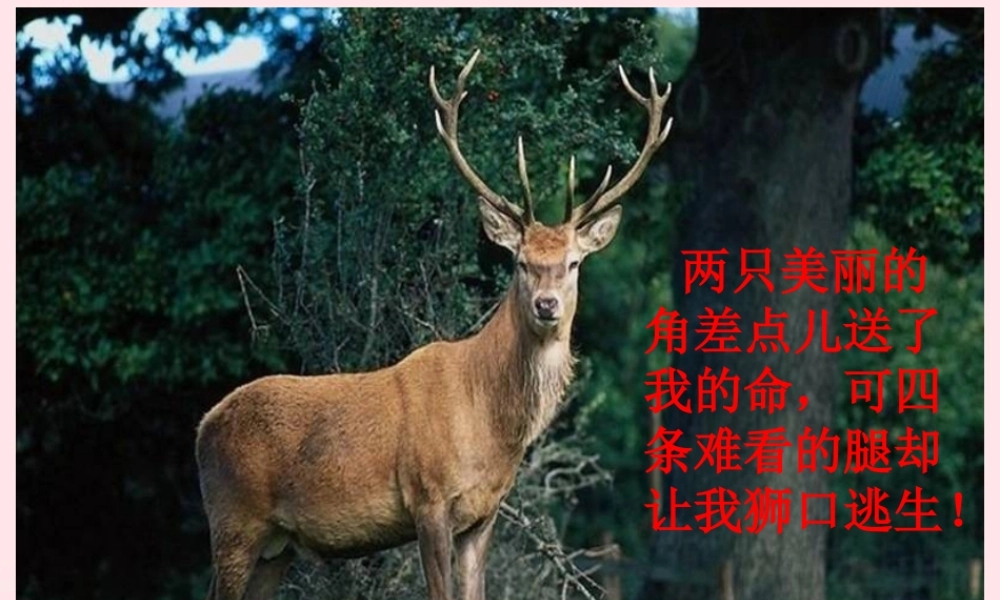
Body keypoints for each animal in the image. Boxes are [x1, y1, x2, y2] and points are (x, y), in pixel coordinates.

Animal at [195, 49, 672, 600]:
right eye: (519, 262)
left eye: (573, 263)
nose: (547, 305)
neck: (490, 426)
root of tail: (203, 427)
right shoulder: (428, 497)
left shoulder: (482, 515)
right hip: (233, 520)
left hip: (277, 545)